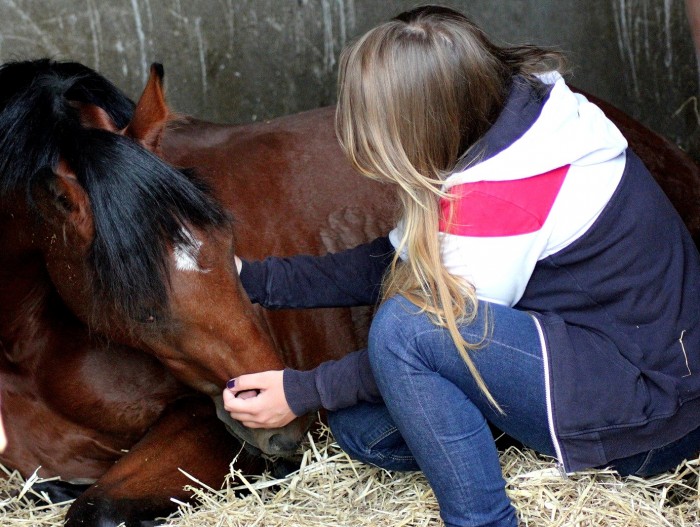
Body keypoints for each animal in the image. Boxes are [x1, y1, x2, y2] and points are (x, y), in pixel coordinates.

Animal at [0, 58, 696, 527]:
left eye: (226, 244)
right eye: (144, 306)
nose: (288, 435)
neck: (25, 343)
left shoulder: (201, 422)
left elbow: (97, 509)